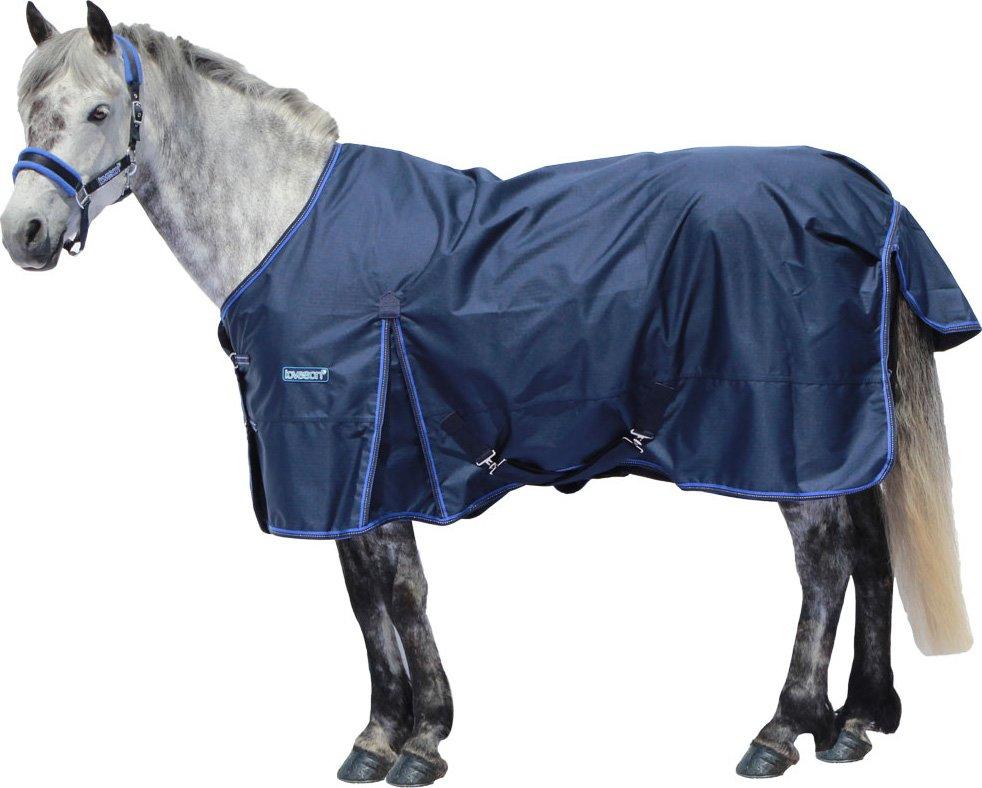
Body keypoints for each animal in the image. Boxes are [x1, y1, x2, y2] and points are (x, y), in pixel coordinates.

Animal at [1, 3, 975, 783]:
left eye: (100, 111)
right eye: (27, 109)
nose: (27, 233)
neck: (286, 223)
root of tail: (869, 200)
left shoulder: (355, 450)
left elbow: (392, 593)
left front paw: (411, 739)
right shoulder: (364, 468)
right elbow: (375, 595)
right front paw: (393, 732)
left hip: (792, 433)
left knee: (825, 564)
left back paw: (784, 727)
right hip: (850, 436)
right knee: (874, 553)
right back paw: (857, 722)